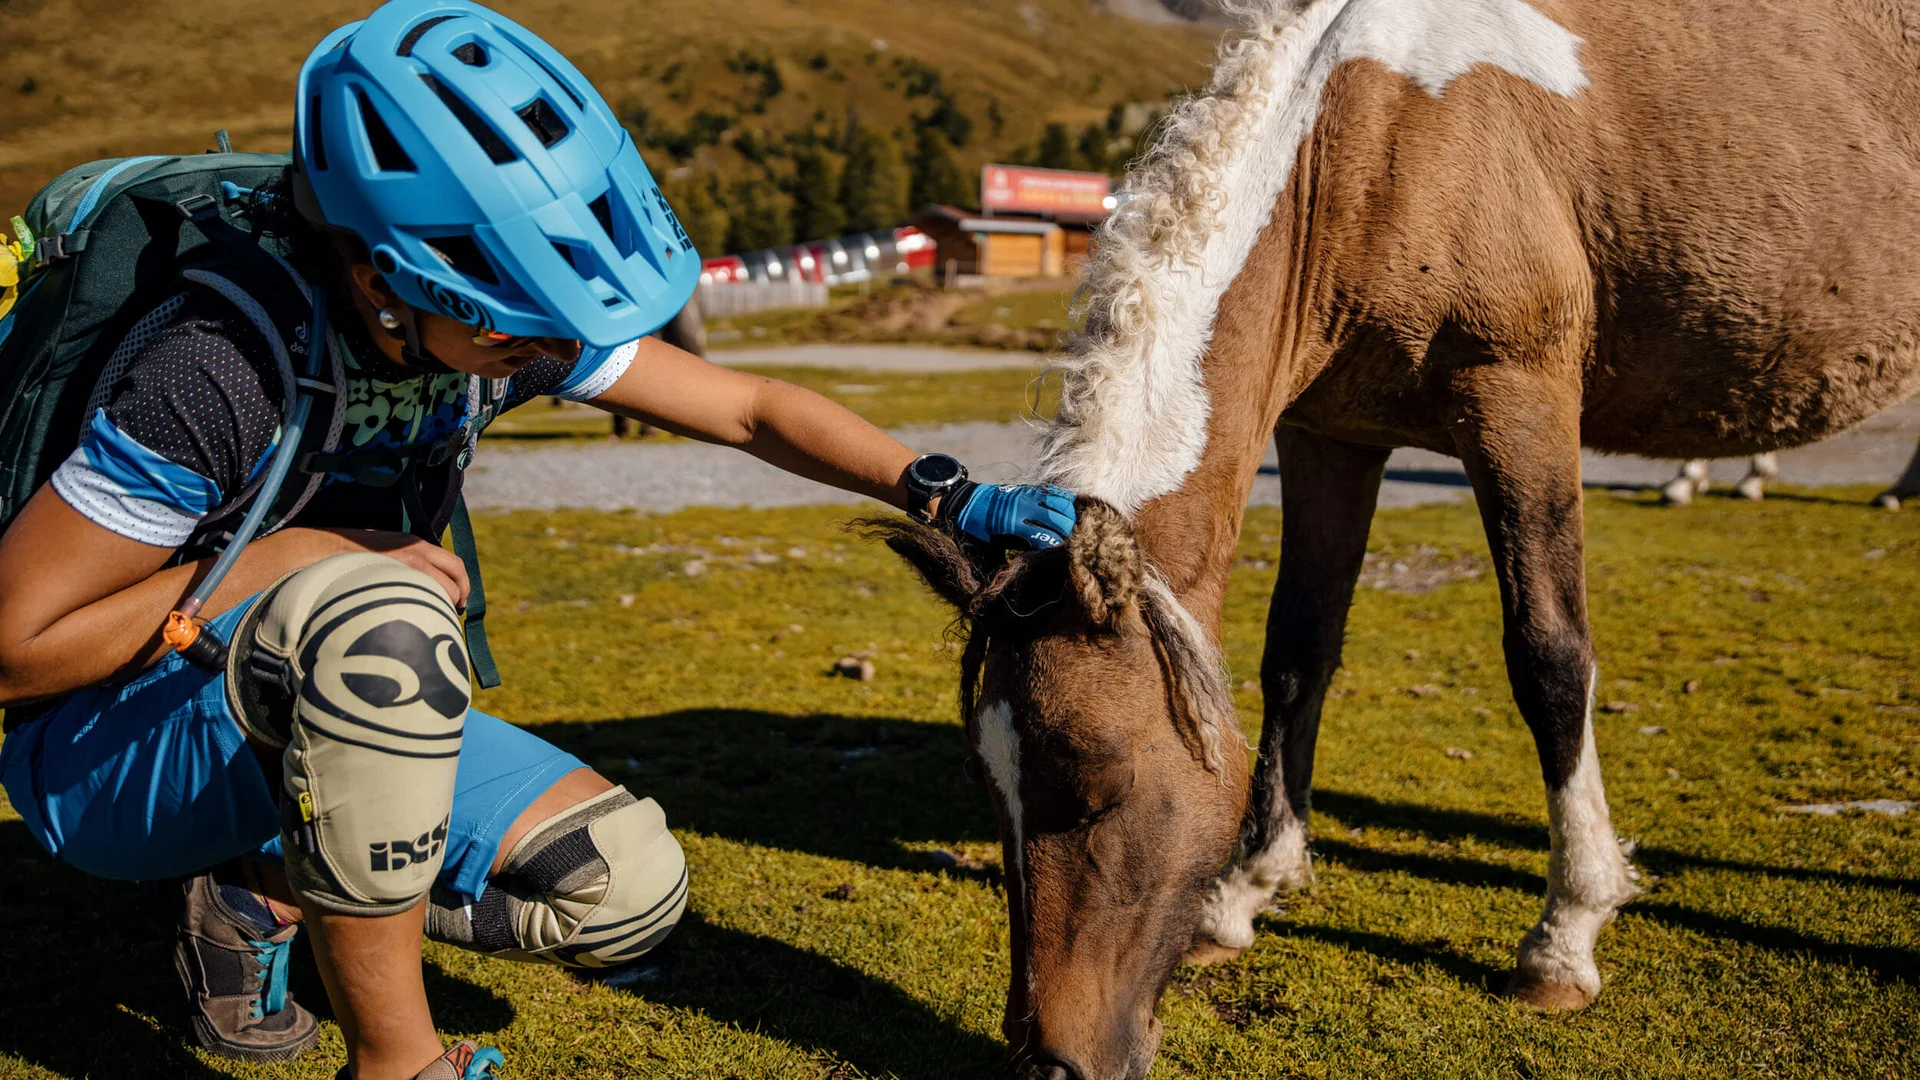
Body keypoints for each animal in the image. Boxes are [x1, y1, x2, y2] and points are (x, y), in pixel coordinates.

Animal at [872, 2, 1920, 1077]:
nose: (1046, 1060)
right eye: (989, 786)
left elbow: (1550, 658)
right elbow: (1298, 653)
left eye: (1096, 783)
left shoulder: (1520, 398)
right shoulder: (1331, 434)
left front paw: (1567, 933)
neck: (1369, 139)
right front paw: (1246, 892)